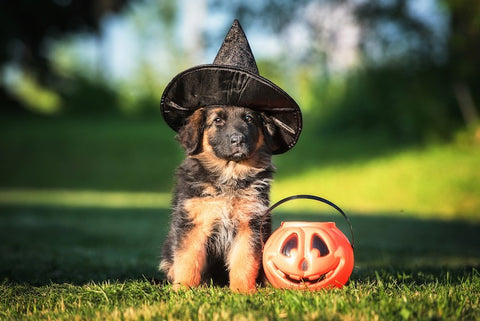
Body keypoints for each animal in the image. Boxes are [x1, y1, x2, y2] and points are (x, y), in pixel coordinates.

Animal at [159, 105, 276, 292]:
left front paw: (243, 290)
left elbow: (244, 261)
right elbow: (188, 259)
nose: (238, 140)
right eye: (218, 120)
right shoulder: (193, 223)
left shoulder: (250, 223)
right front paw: (184, 289)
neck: (229, 176)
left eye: (249, 118)